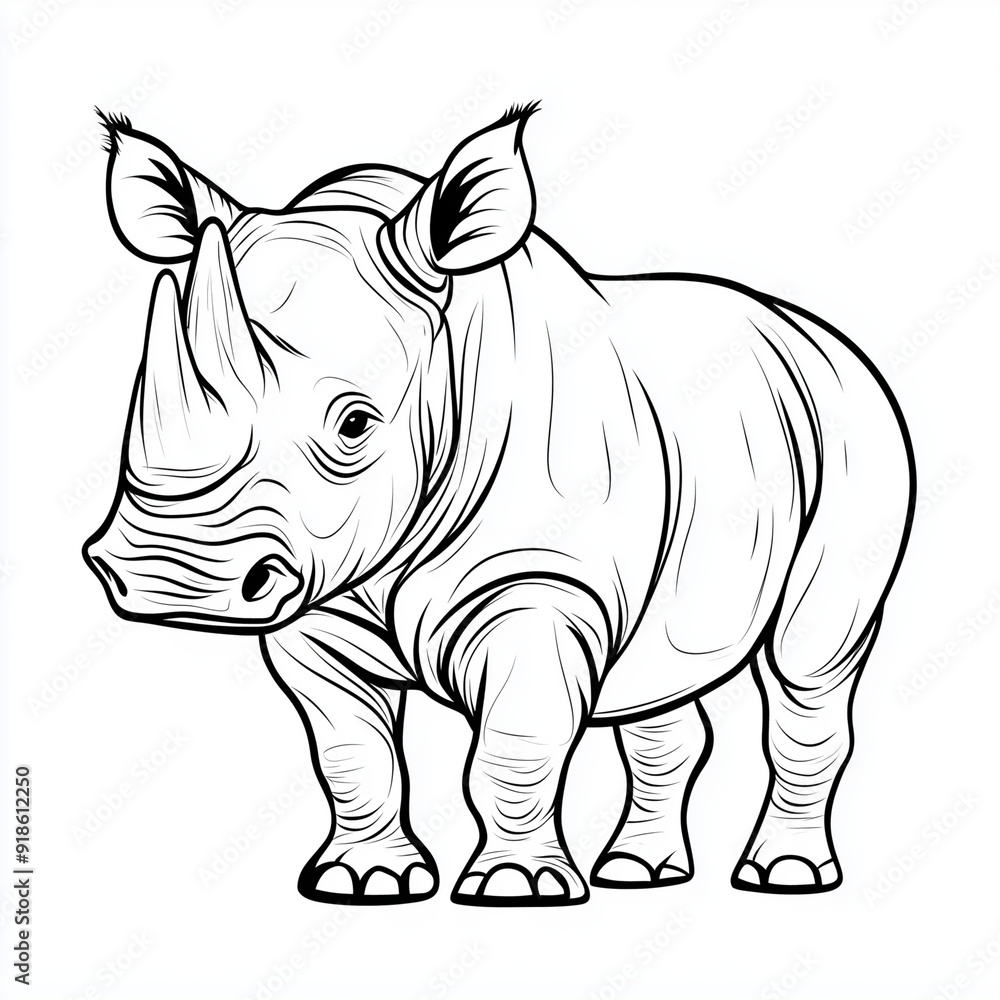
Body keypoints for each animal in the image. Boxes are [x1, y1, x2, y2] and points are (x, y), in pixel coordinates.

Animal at [84, 104, 915, 906]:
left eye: (355, 425)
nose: (164, 578)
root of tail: (816, 331)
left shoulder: (540, 585)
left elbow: (513, 749)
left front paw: (517, 889)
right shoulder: (317, 607)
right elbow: (352, 752)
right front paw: (364, 882)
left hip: (855, 428)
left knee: (810, 663)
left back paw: (785, 876)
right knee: (660, 680)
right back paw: (640, 872)